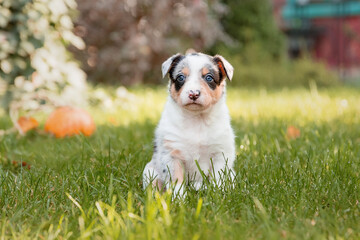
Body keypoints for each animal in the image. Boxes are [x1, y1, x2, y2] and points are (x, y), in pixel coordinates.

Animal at [143, 52, 236, 195]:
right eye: (181, 77)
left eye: (209, 77)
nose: (193, 94)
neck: (196, 119)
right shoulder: (171, 154)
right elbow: (176, 180)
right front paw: (178, 197)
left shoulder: (221, 153)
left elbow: (218, 178)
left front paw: (218, 193)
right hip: (149, 171)